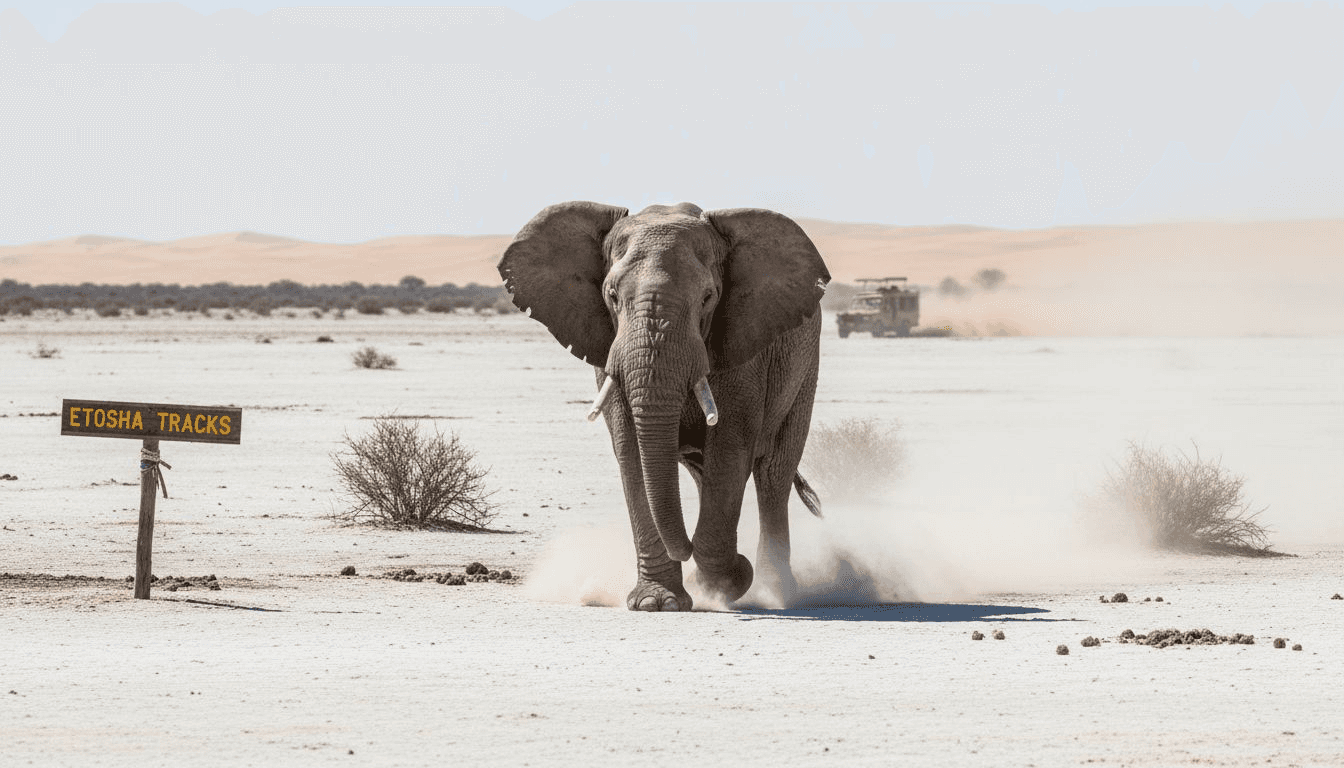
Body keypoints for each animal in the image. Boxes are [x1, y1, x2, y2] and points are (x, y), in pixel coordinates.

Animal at [498, 201, 830, 611]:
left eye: (708, 298)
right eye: (611, 295)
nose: (684, 551)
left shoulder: (743, 351)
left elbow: (730, 446)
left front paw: (728, 580)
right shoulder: (610, 351)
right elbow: (631, 451)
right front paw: (657, 603)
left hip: (805, 364)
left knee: (772, 473)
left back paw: (775, 591)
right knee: (706, 473)